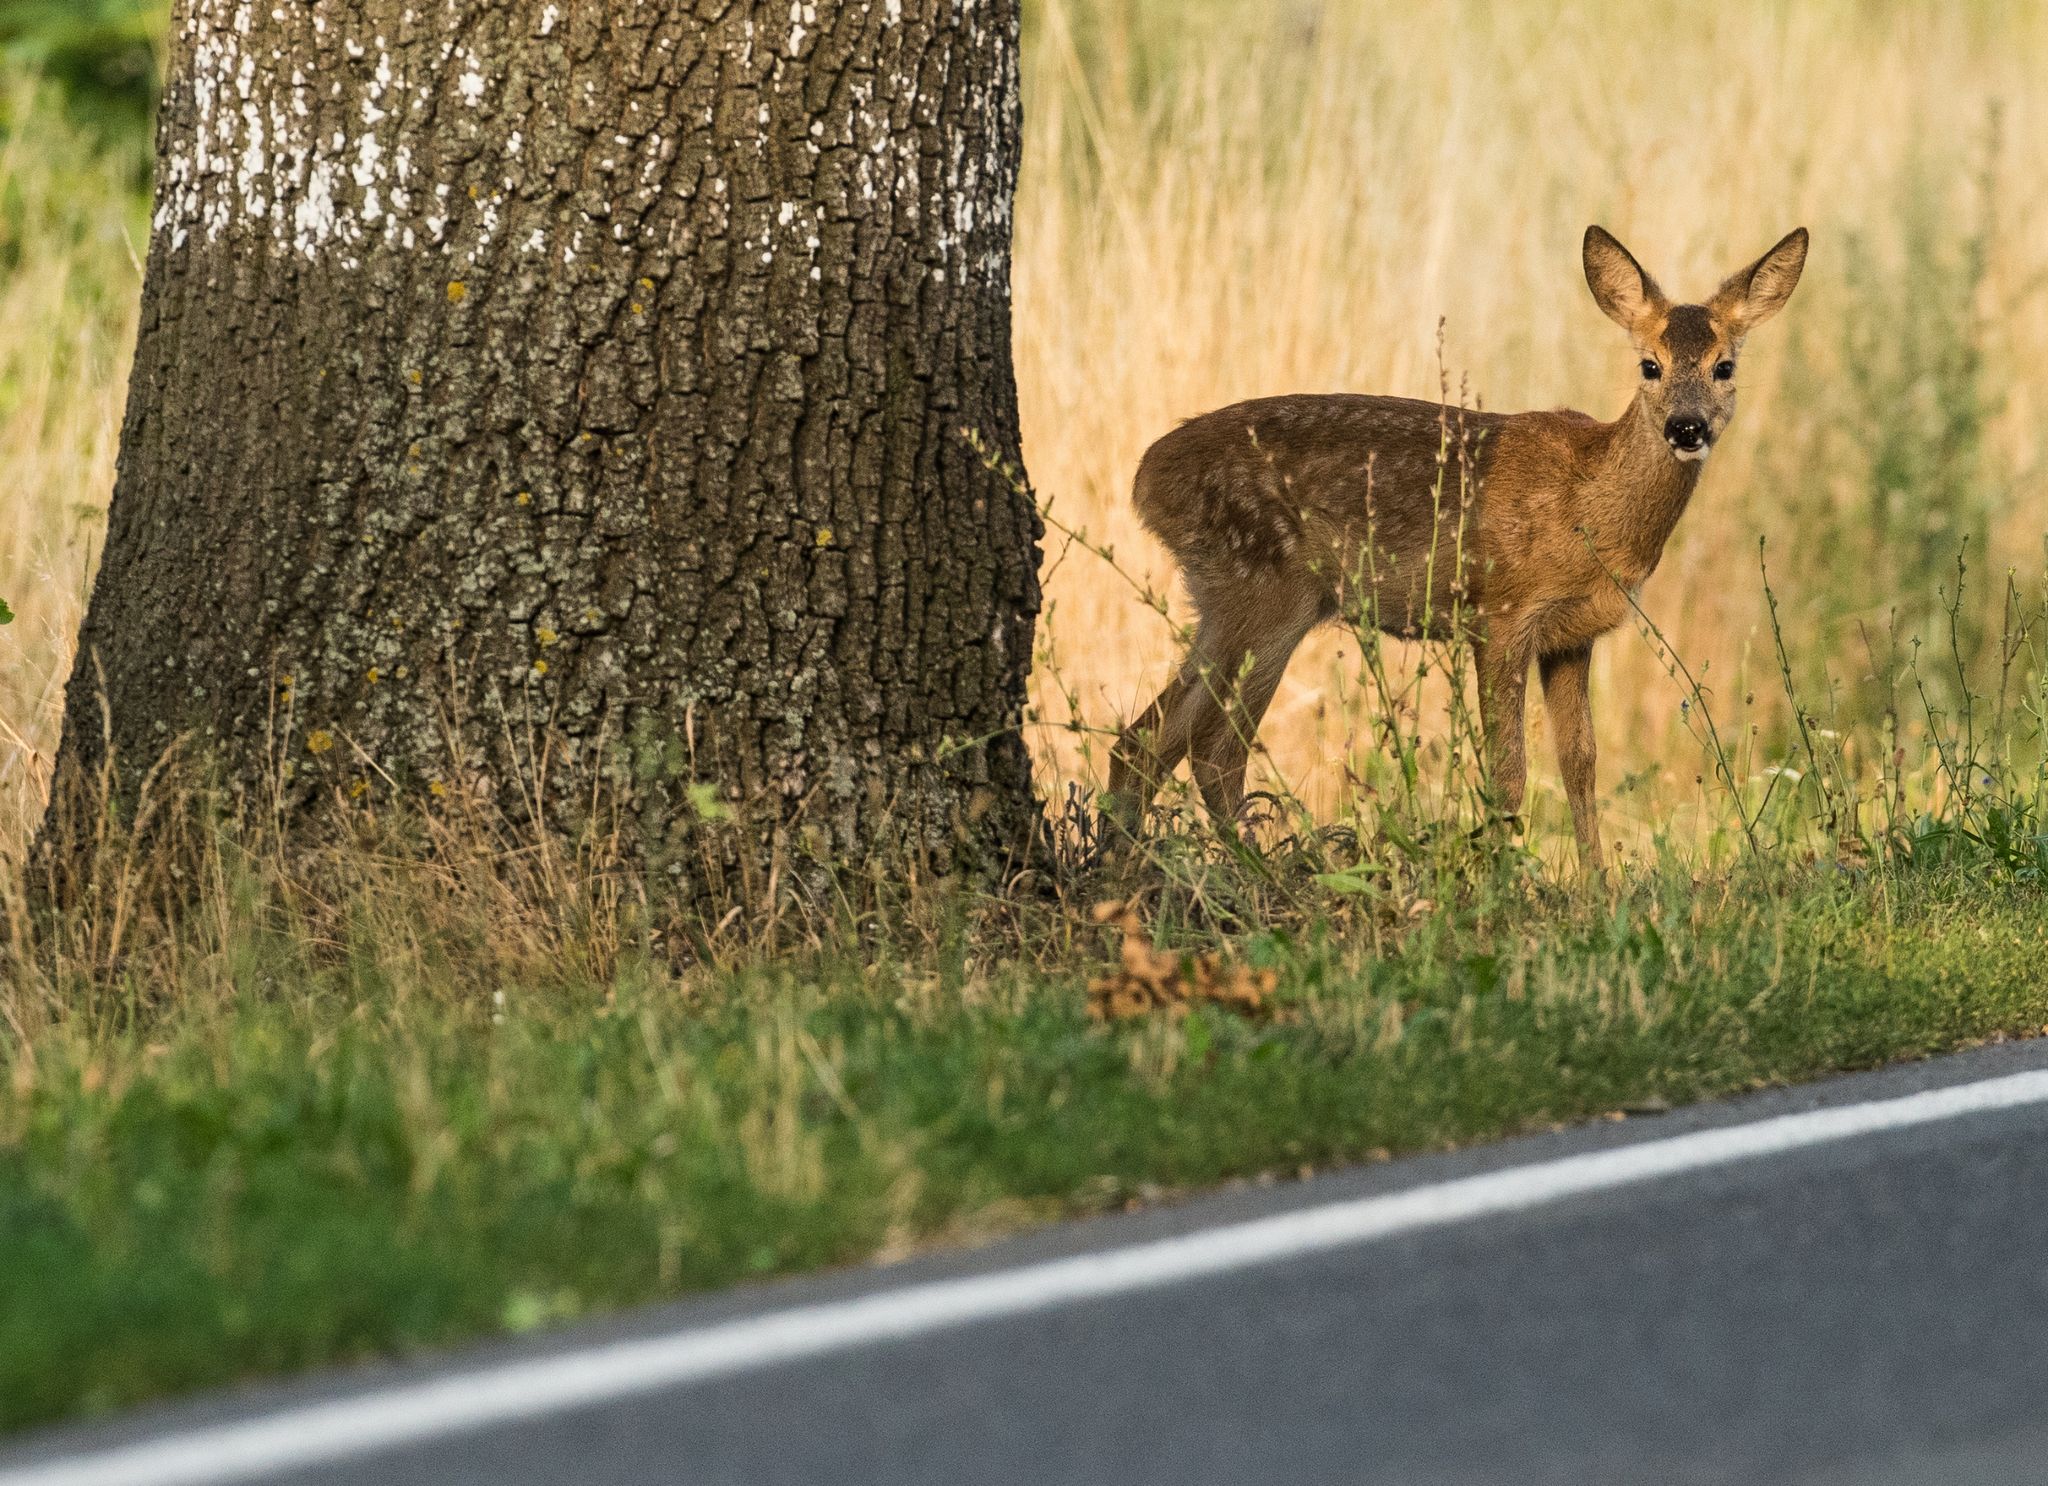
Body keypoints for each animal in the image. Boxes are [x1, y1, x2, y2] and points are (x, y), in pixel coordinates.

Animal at [1105, 225, 1810, 867]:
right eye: (1650, 365)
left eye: (1724, 367)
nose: (1686, 427)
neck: (1590, 508)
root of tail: (1146, 478)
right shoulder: (1499, 613)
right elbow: (1508, 772)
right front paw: (1507, 884)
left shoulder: (1572, 634)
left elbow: (1580, 763)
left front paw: (1597, 891)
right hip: (1266, 593)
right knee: (1214, 748)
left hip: (1225, 602)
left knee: (1145, 742)